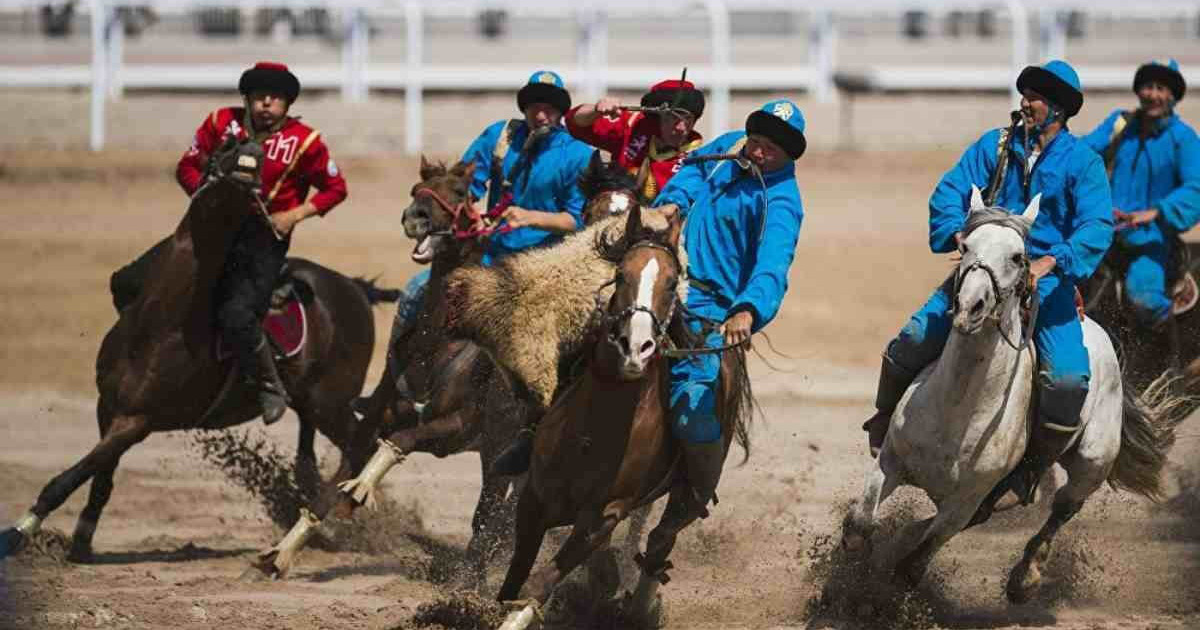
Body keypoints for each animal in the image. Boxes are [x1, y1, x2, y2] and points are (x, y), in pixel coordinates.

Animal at [0, 137, 388, 559]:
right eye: (225, 146)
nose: (250, 154)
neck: (162, 322)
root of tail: (354, 288)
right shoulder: (108, 408)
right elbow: (100, 479)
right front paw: (81, 542)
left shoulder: (136, 421)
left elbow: (69, 477)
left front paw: (16, 534)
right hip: (313, 403)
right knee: (310, 454)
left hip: (332, 403)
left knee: (359, 447)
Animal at [494, 204, 753, 624]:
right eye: (620, 275)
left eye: (671, 283)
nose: (636, 347)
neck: (592, 430)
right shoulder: (534, 498)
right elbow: (514, 579)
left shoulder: (603, 516)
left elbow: (538, 585)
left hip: (688, 492)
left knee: (662, 539)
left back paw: (637, 607)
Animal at [844, 188, 1180, 604]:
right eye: (965, 245)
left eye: (1019, 256)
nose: (970, 307)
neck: (958, 408)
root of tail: (1098, 332)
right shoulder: (890, 461)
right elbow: (859, 527)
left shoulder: (963, 503)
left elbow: (912, 565)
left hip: (1093, 461)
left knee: (1064, 507)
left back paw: (1026, 576)